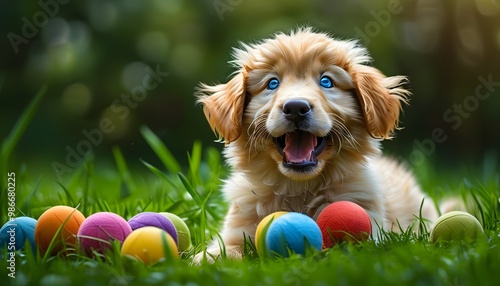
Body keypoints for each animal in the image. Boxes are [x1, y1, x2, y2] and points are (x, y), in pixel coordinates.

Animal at [195, 27, 438, 264]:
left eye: (326, 81)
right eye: (272, 83)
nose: (295, 107)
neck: (298, 188)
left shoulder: (372, 226)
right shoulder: (237, 230)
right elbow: (227, 248)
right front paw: (208, 259)